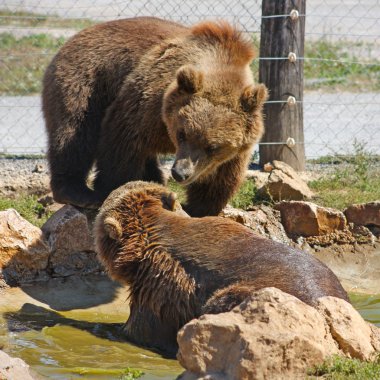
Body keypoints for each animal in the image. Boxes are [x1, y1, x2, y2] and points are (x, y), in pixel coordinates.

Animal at [42, 16, 268, 217]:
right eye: (182, 133)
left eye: (213, 147)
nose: (180, 173)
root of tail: (74, 37)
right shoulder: (149, 105)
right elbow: (122, 140)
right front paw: (111, 189)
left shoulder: (237, 148)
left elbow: (222, 175)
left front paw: (196, 208)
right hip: (85, 82)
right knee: (74, 134)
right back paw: (78, 192)